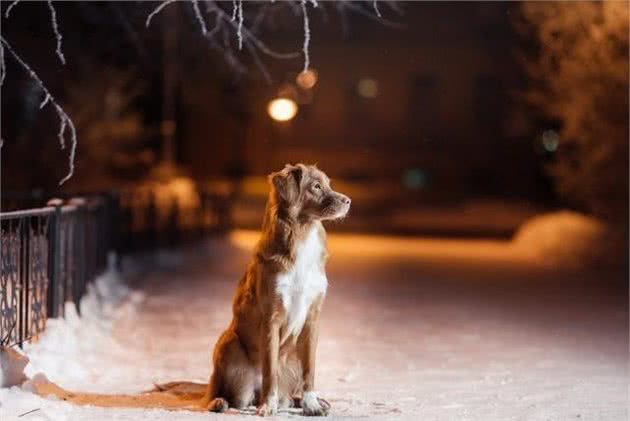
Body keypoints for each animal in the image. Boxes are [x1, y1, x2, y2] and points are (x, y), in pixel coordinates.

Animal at [202, 162, 350, 416]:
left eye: (328, 184)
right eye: (316, 187)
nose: (348, 201)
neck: (302, 234)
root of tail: (252, 394)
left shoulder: (313, 318)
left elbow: (310, 370)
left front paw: (311, 404)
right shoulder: (271, 318)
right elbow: (270, 370)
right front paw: (268, 407)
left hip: (293, 357)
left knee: (288, 398)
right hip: (228, 342)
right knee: (221, 391)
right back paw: (220, 402)